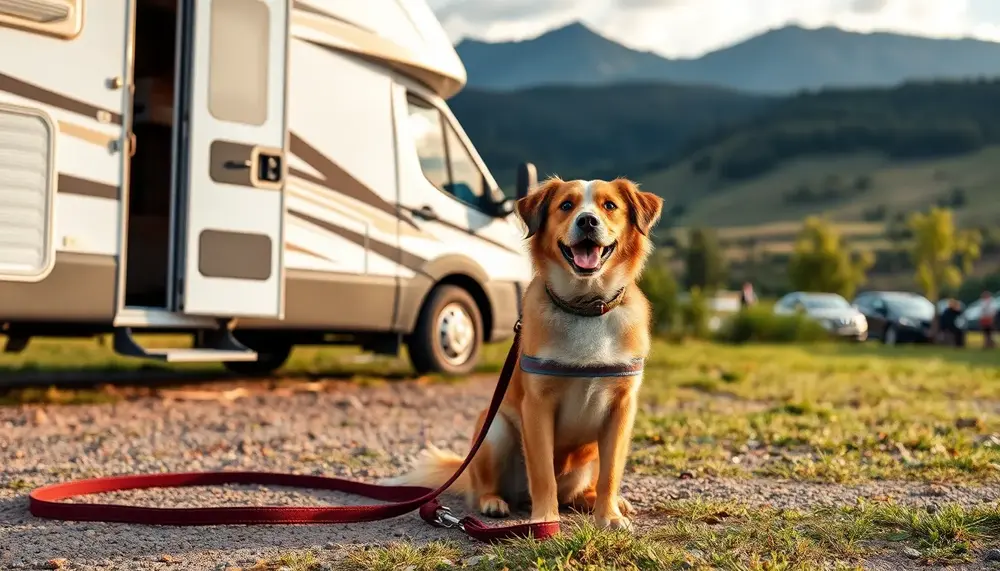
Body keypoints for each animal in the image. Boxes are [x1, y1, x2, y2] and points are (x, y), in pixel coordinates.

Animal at [390, 177, 664, 528]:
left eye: (609, 206)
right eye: (566, 205)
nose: (587, 221)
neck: (585, 308)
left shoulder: (621, 409)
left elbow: (611, 472)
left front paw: (609, 515)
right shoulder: (537, 407)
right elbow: (543, 473)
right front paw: (544, 519)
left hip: (588, 454)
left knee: (580, 490)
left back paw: (597, 501)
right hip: (494, 431)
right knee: (490, 486)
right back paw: (493, 501)